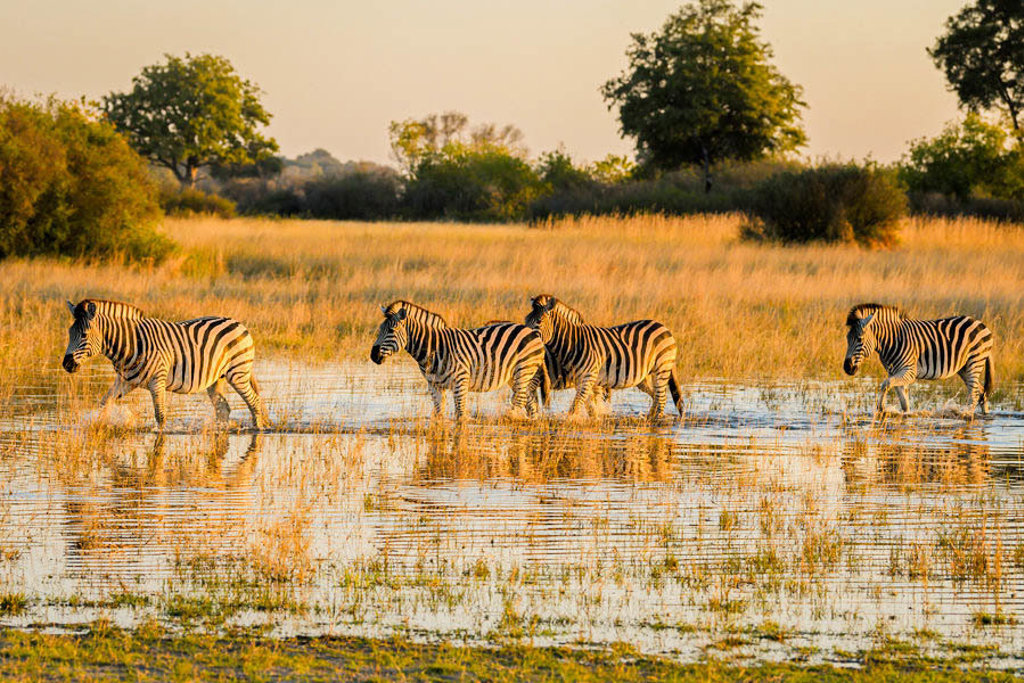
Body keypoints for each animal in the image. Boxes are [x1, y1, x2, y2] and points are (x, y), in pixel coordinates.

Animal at [62, 299, 266, 430]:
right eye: (69, 333)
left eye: (84, 335)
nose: (66, 365)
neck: (130, 344)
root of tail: (238, 323)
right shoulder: (125, 381)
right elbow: (104, 403)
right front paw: (101, 424)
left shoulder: (157, 381)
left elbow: (160, 416)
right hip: (217, 379)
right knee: (223, 408)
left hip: (237, 373)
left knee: (254, 402)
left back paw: (259, 429)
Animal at [370, 301, 550, 420]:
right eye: (379, 329)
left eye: (391, 330)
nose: (373, 355)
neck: (434, 348)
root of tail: (532, 332)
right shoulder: (434, 385)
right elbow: (439, 415)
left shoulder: (460, 382)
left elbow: (460, 417)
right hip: (515, 376)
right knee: (530, 403)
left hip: (523, 369)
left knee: (519, 402)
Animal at [524, 295, 683, 418]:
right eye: (526, 320)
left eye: (539, 321)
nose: (526, 339)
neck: (573, 342)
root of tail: (663, 327)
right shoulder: (583, 380)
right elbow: (588, 406)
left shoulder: (587, 377)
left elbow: (575, 407)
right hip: (644, 376)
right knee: (656, 396)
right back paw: (650, 417)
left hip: (662, 367)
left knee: (661, 398)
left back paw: (655, 423)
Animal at [843, 303, 994, 415]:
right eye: (847, 339)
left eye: (859, 339)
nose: (847, 368)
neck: (892, 341)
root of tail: (980, 323)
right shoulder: (895, 372)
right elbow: (903, 401)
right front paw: (905, 416)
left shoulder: (909, 372)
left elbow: (885, 384)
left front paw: (881, 408)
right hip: (964, 368)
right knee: (981, 391)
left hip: (974, 362)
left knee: (974, 393)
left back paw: (966, 415)